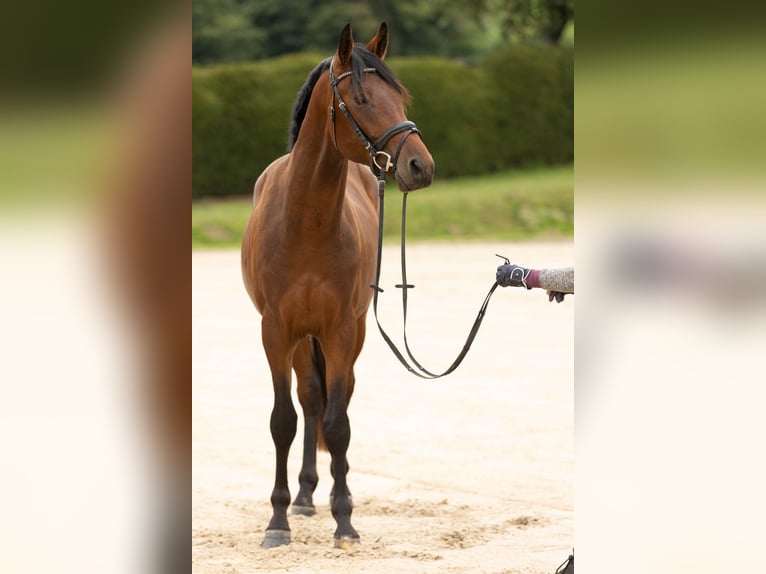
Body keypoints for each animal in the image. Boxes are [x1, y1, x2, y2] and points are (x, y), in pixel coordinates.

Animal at [242, 22, 432, 552]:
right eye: (362, 98)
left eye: (400, 95)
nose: (420, 166)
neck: (307, 222)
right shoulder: (276, 332)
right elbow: (283, 420)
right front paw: (277, 521)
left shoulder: (344, 331)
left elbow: (338, 424)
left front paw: (344, 520)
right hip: (302, 339)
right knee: (309, 399)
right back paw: (304, 497)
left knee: (328, 404)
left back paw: (322, 496)